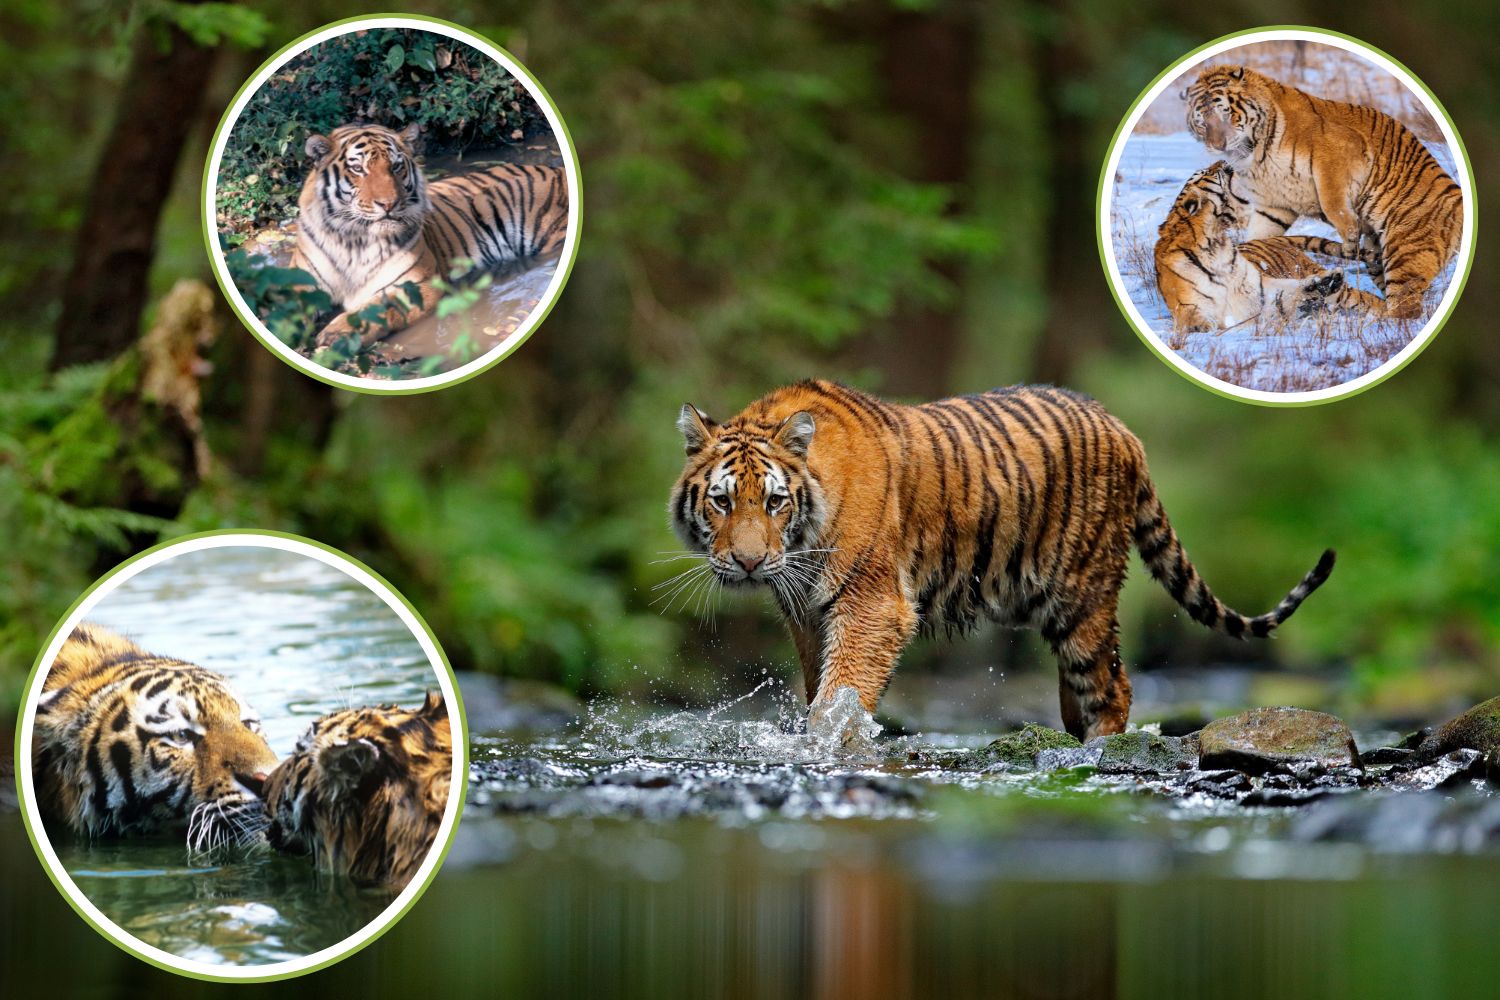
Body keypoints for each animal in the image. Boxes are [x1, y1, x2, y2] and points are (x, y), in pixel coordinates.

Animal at [291, 122, 568, 351]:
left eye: (395, 167)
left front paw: (336, 334)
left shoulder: (417, 285)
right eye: (358, 169)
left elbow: (377, 307)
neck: (353, 241)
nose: (389, 204)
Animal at [669, 380, 1335, 742]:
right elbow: (819, 690)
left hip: (1083, 596)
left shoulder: (872, 606)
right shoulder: (807, 615)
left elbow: (841, 695)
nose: (749, 563)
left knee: (1113, 686)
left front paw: (829, 746)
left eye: (774, 501)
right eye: (722, 501)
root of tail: (1123, 428)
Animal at [1154, 160, 1378, 332]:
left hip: (1341, 292)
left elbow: (1285, 293)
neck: (1214, 241)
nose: (1222, 161)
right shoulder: (1188, 307)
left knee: (1368, 299)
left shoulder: (1259, 287)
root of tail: (1269, 239)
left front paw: (1320, 285)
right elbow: (1199, 322)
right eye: (1205, 173)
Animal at [1183, 64, 1463, 320]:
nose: (1217, 145)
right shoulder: (1273, 205)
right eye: (1202, 122)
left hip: (1406, 249)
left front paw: (1349, 237)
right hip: (1380, 258)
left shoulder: (1336, 152)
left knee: (1405, 310)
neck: (1253, 153)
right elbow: (1260, 235)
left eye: (1226, 114)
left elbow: (1332, 201)